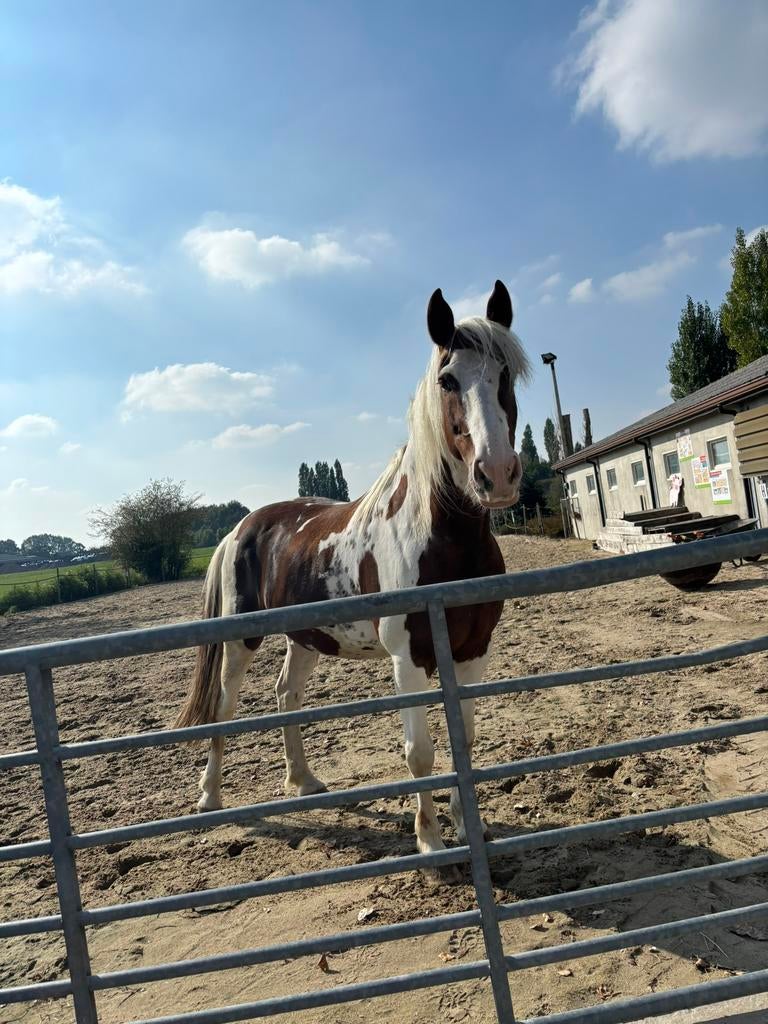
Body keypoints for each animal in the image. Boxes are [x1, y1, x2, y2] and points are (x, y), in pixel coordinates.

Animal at [175, 279, 530, 858]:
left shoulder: (473, 649)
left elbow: (465, 740)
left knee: (287, 695)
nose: (496, 474)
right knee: (223, 707)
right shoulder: (408, 657)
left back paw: (303, 781)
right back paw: (209, 797)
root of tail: (238, 530)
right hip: (238, 640)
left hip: (303, 637)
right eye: (448, 379)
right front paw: (431, 841)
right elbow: (420, 752)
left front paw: (469, 829)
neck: (442, 538)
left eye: (508, 374)